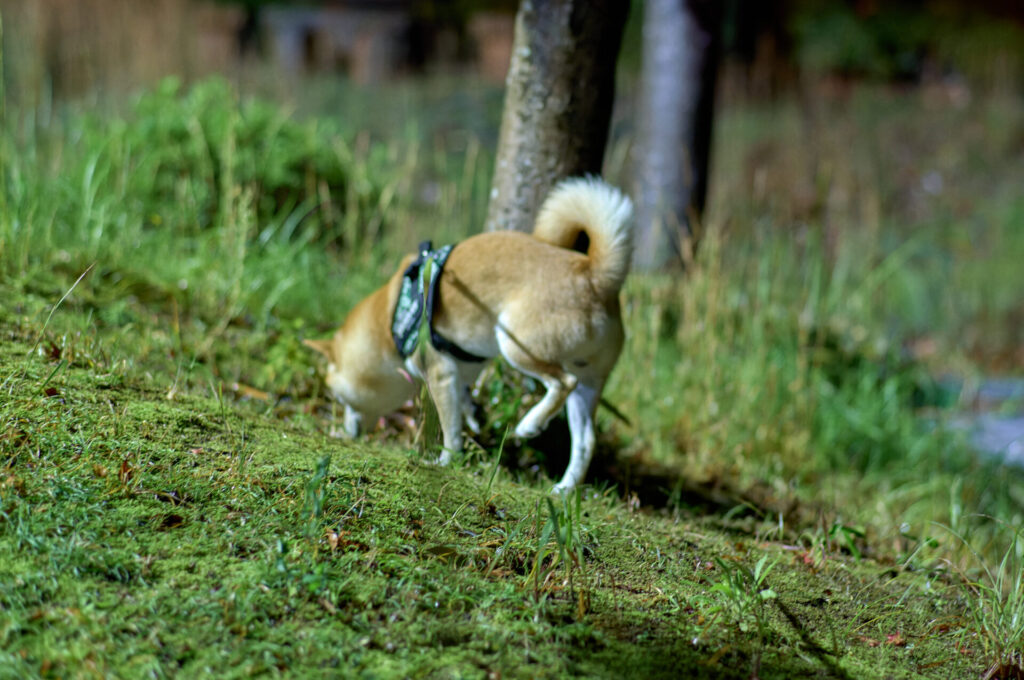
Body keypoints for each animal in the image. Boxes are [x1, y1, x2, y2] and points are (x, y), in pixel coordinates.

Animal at [303, 176, 630, 493]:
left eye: (339, 397)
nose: (346, 431)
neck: (390, 317)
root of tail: (594, 274)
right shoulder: (458, 376)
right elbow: (463, 405)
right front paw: (473, 418)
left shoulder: (439, 375)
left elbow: (450, 430)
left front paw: (445, 461)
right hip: (588, 383)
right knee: (586, 440)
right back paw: (565, 488)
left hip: (515, 344)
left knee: (563, 382)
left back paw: (531, 423)